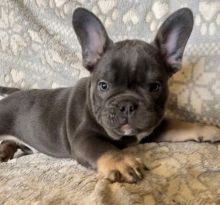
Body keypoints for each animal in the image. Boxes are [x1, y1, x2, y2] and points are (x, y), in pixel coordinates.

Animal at [0, 7, 220, 183]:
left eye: (155, 86)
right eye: (103, 86)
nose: (127, 105)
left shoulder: (151, 128)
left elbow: (178, 123)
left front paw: (208, 129)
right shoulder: (84, 137)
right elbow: (103, 148)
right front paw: (121, 162)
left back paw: (4, 152)